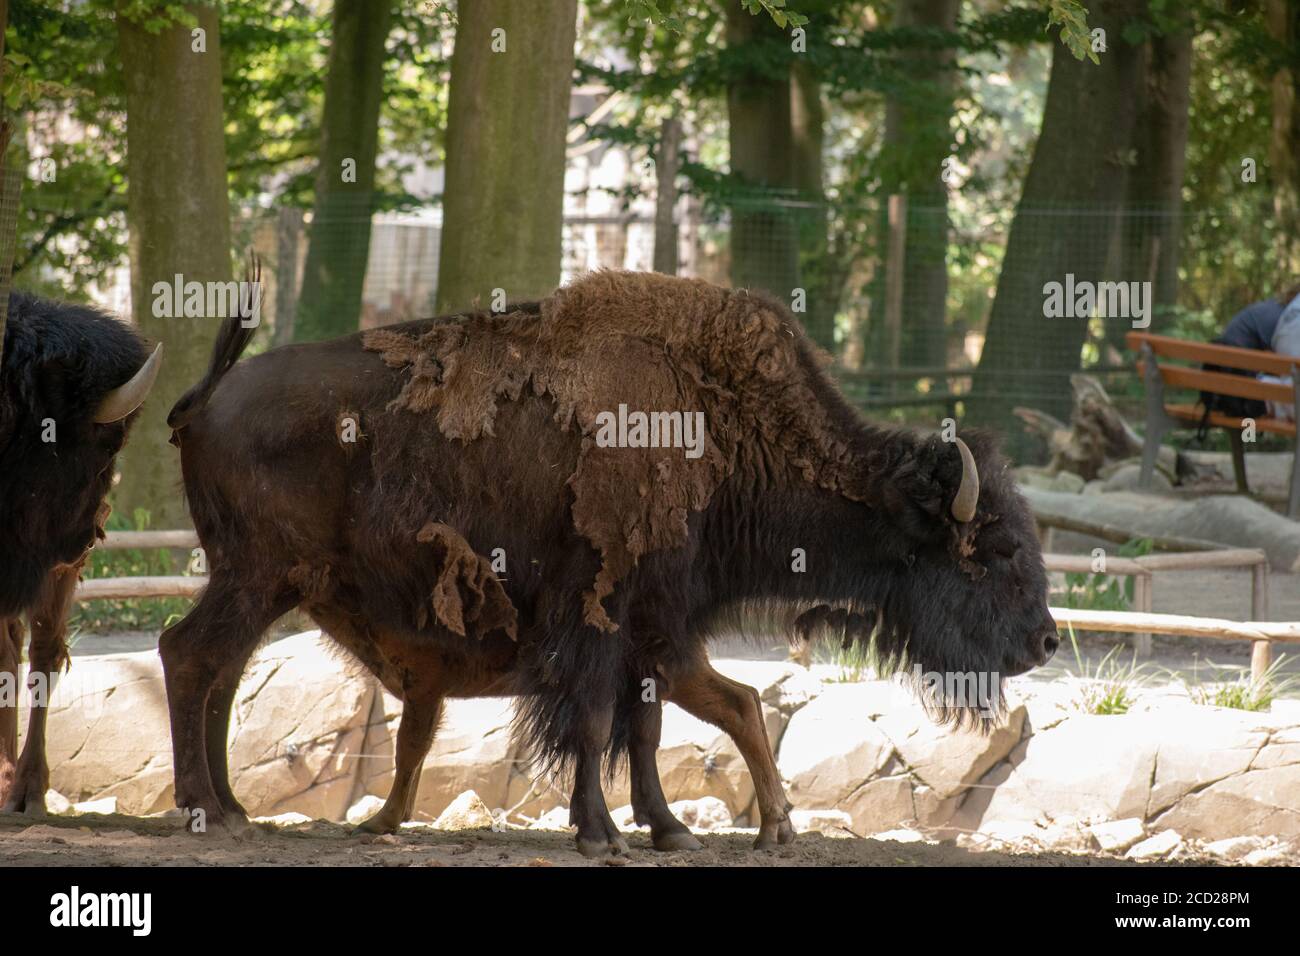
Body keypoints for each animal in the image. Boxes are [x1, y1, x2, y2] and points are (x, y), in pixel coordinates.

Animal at [162, 268, 1055, 856]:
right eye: (997, 551)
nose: (1045, 639)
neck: (718, 425)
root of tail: (206, 398)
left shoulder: (650, 628)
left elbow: (646, 730)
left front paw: (667, 831)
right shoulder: (601, 615)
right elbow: (597, 723)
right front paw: (599, 834)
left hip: (268, 585)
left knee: (223, 674)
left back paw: (234, 808)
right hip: (254, 576)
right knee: (189, 655)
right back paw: (205, 809)